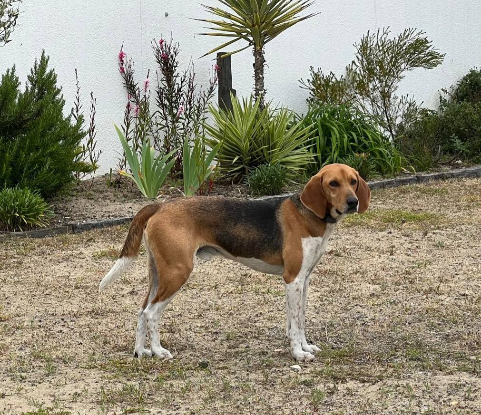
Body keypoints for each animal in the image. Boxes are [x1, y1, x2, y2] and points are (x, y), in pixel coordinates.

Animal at [99, 163, 370, 361]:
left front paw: (306, 347)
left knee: (141, 310)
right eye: (333, 183)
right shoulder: (292, 280)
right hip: (177, 273)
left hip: (158, 273)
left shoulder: (304, 280)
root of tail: (160, 205)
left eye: (353, 181)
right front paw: (297, 353)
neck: (310, 214)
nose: (353, 202)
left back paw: (140, 352)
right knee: (151, 313)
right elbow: (294, 324)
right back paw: (158, 351)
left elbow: (300, 320)